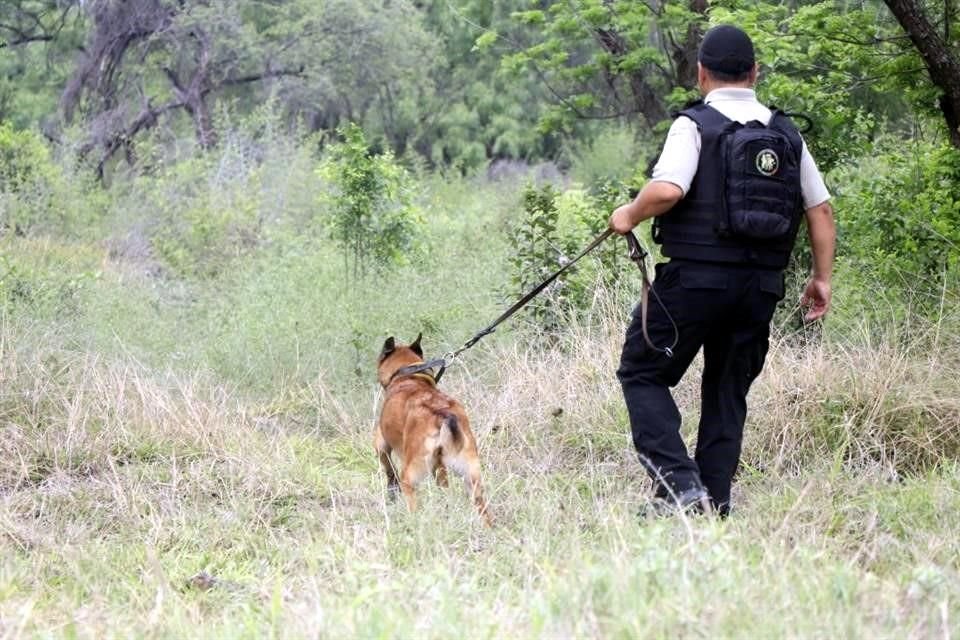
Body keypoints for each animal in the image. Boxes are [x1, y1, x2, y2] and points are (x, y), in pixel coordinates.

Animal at [376, 336, 492, 524]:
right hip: (471, 476)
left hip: (411, 474)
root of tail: (442, 415)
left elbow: (388, 466)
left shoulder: (380, 442)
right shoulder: (440, 468)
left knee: (410, 494)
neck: (409, 377)